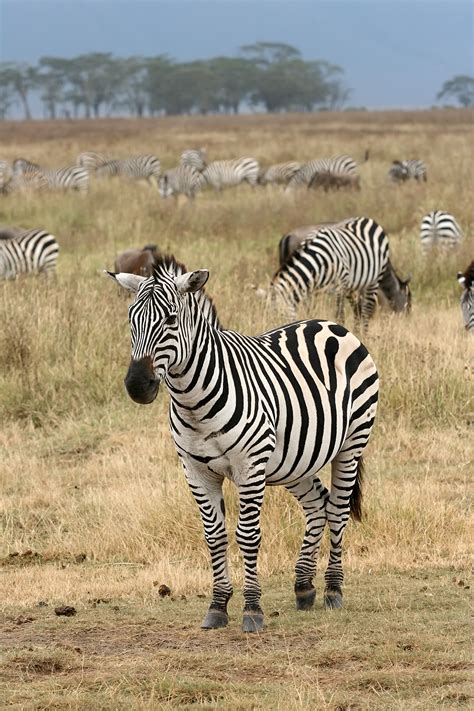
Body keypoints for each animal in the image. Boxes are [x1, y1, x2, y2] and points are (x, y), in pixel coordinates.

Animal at [107, 255, 379, 632]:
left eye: (171, 319)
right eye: (132, 321)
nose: (136, 385)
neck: (194, 403)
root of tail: (330, 324)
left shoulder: (249, 466)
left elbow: (248, 536)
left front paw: (252, 609)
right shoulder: (195, 471)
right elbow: (214, 536)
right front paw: (218, 605)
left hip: (352, 442)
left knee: (337, 510)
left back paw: (333, 590)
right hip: (294, 460)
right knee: (317, 504)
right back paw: (304, 586)